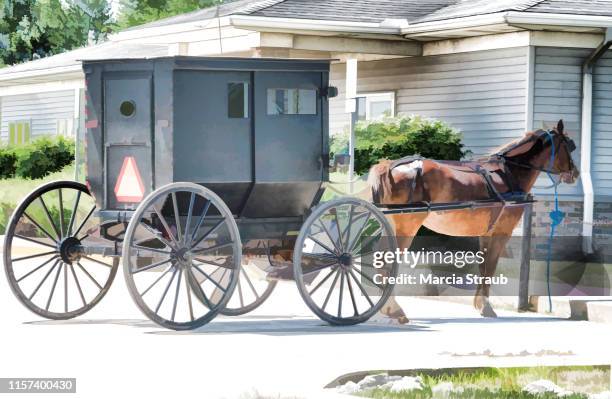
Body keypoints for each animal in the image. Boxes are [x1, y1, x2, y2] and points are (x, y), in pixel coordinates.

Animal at [368, 120, 580, 324]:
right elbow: (491, 266)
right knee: (388, 260)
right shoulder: (502, 231)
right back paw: (394, 309)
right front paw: (486, 306)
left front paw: (479, 304)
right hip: (407, 226)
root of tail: (389, 166)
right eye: (569, 145)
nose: (575, 173)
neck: (508, 174)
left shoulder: (486, 233)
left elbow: (483, 266)